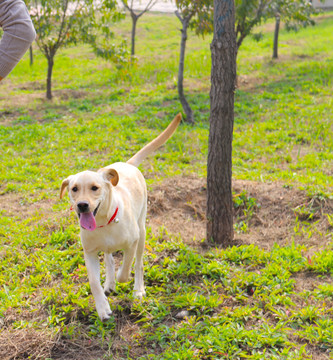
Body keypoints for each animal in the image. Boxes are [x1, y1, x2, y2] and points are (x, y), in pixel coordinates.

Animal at [58, 114, 180, 320]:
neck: (103, 223)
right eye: (74, 189)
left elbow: (126, 268)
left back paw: (138, 289)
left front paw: (123, 278)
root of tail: (127, 164)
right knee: (109, 258)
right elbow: (94, 282)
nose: (82, 205)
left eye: (95, 188)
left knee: (138, 264)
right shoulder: (89, 252)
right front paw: (102, 308)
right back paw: (109, 282)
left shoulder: (132, 242)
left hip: (142, 230)